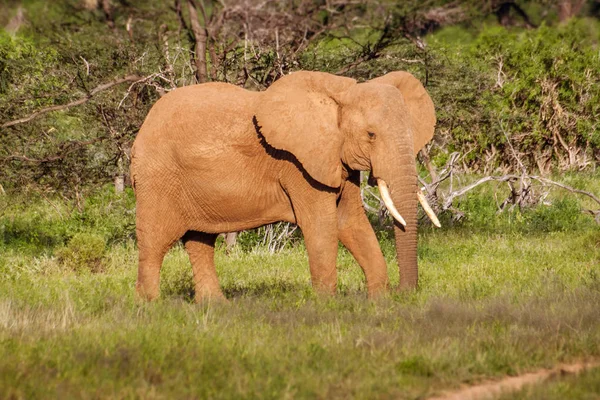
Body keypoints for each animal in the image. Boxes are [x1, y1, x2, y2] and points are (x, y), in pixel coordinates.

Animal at [130, 70, 436, 302]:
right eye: (371, 135)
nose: (404, 292)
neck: (341, 93)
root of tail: (143, 126)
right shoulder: (298, 163)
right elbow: (321, 226)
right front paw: (327, 307)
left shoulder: (335, 157)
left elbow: (350, 221)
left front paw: (379, 303)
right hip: (157, 177)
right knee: (155, 242)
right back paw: (151, 307)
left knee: (200, 241)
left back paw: (215, 307)